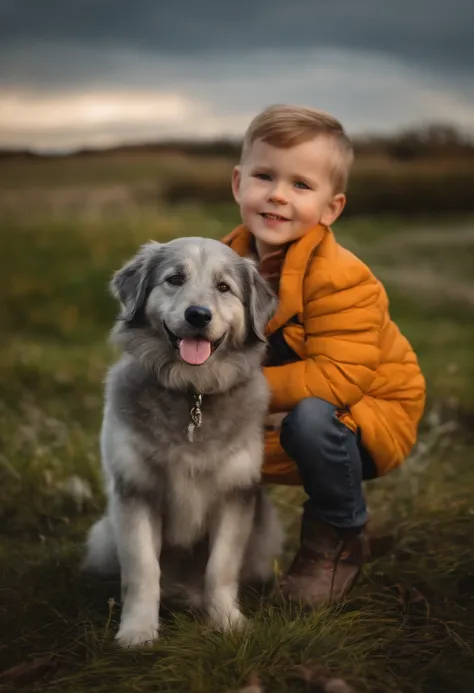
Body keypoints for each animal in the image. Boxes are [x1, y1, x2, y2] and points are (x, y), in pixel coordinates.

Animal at [83, 235, 284, 648]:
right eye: (174, 279)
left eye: (224, 287)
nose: (198, 315)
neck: (193, 392)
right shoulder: (135, 491)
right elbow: (143, 570)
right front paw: (138, 631)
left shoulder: (235, 494)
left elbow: (221, 567)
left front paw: (227, 621)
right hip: (102, 536)